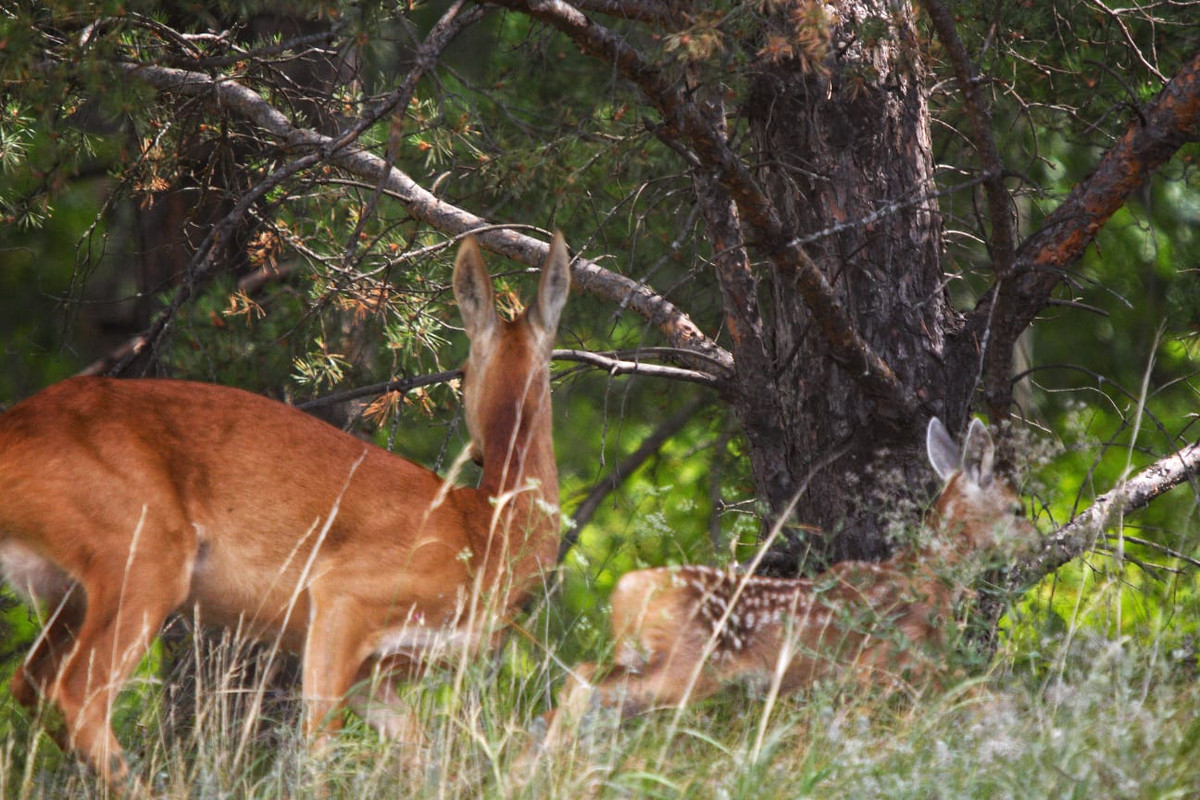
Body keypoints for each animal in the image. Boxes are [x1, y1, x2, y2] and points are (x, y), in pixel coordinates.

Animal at [0, 235, 571, 786]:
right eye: (462, 368)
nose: (477, 454)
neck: (487, 532)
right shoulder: (345, 595)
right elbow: (319, 748)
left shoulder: (374, 673)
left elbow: (423, 754)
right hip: (141, 549)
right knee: (79, 693)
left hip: (73, 588)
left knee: (31, 682)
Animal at [542, 417, 1032, 748]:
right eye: (1018, 509)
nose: (1037, 541)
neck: (928, 579)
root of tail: (626, 589)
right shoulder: (885, 661)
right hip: (687, 665)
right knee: (584, 682)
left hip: (640, 655)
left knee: (581, 680)